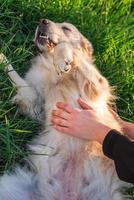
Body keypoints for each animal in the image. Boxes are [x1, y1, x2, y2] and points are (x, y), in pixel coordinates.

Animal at [0, 19, 130, 200]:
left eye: (67, 28)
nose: (42, 20)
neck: (53, 70)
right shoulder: (35, 104)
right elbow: (15, 75)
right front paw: (1, 56)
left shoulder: (95, 85)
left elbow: (69, 49)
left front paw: (64, 58)